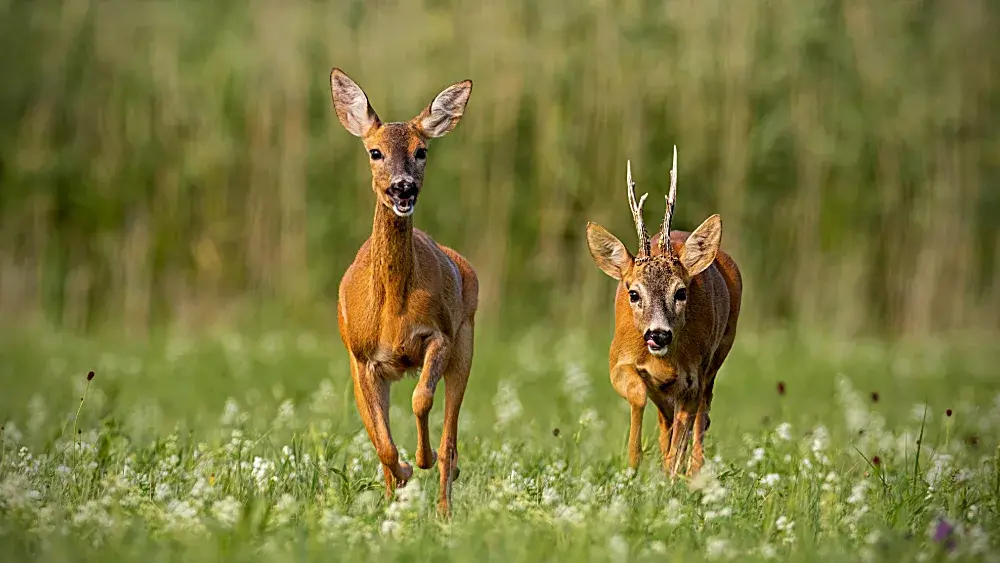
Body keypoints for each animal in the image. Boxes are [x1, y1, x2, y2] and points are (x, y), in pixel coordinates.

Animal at [329, 67, 478, 517]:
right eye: (375, 152)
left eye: (422, 150)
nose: (403, 188)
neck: (392, 307)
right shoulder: (362, 358)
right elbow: (382, 444)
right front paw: (405, 472)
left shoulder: (440, 336)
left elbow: (421, 400)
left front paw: (422, 460)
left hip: (466, 342)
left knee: (450, 438)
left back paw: (445, 504)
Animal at [585, 147, 742, 479]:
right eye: (633, 293)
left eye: (681, 292)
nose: (658, 334)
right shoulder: (617, 361)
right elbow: (638, 394)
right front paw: (634, 465)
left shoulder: (693, 377)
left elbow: (686, 426)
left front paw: (670, 476)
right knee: (667, 417)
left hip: (718, 355)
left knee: (702, 413)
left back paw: (693, 473)